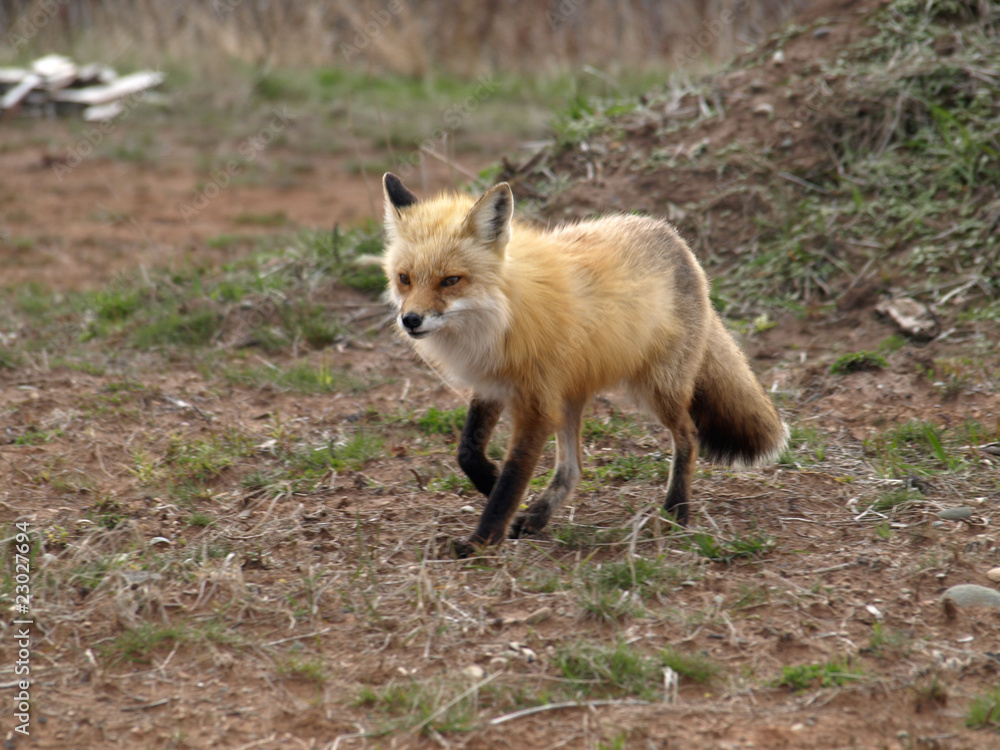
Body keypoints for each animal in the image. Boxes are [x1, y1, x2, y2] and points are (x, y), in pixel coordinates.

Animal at [381, 172, 788, 556]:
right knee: (572, 469)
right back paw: (539, 515)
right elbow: (468, 452)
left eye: (451, 280)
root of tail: (675, 238)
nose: (411, 320)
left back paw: (677, 511)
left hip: (657, 388)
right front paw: (492, 486)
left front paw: (483, 541)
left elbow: (512, 480)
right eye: (405, 279)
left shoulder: (536, 406)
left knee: (689, 435)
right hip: (571, 398)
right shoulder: (493, 384)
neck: (501, 315)